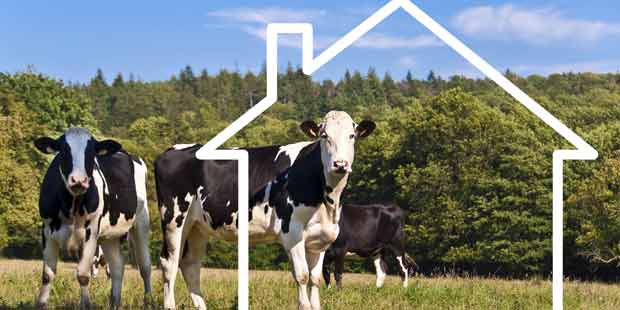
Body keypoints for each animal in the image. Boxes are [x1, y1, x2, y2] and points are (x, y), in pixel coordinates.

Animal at [34, 127, 151, 308]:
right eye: (63, 151)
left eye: (91, 153)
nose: (78, 180)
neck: (70, 207)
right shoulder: (47, 231)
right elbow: (47, 275)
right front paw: (41, 304)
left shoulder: (91, 232)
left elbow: (83, 275)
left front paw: (85, 305)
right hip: (110, 236)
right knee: (117, 267)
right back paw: (114, 304)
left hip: (141, 222)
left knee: (145, 267)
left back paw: (148, 301)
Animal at [155, 111, 376, 310]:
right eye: (324, 136)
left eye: (352, 135)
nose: (340, 164)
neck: (328, 202)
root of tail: (173, 149)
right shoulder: (292, 232)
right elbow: (302, 276)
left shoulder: (320, 238)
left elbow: (315, 279)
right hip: (174, 218)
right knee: (169, 263)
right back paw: (170, 305)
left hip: (197, 226)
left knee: (190, 265)